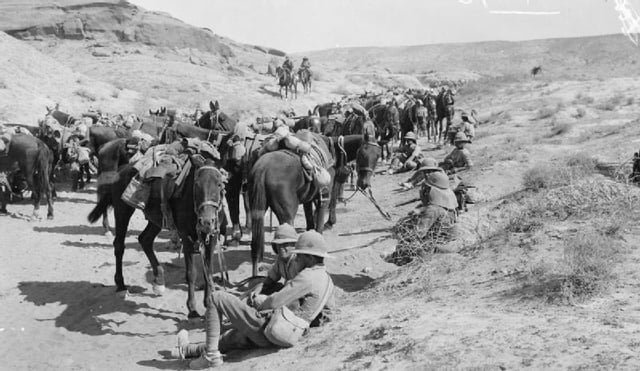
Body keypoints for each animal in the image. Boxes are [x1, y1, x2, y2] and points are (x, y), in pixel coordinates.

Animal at [87, 156, 228, 316]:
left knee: (145, 240)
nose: (206, 221)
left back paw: (159, 280)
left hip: (156, 219)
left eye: (219, 184)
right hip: (123, 210)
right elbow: (191, 273)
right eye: (196, 185)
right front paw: (192, 308)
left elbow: (208, 271)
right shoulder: (187, 237)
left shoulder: (212, 237)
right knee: (119, 245)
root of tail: (122, 169)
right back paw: (121, 285)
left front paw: (209, 303)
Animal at [244, 134, 376, 276]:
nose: (364, 183)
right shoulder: (325, 195)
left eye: (377, 155)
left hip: (257, 209)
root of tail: (262, 169)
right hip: (287, 214)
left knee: (256, 246)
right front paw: (329, 224)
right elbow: (321, 220)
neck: (333, 149)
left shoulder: (308, 198)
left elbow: (310, 221)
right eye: (362, 154)